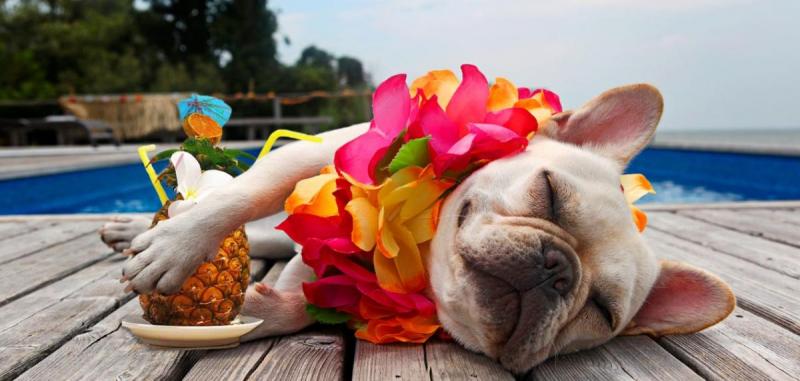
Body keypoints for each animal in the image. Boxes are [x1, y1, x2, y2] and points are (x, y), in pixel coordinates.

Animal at [103, 83, 736, 372]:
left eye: (600, 311)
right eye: (549, 194)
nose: (557, 268)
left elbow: (309, 306)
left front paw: (261, 309)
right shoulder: (320, 152)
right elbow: (248, 193)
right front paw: (179, 248)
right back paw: (140, 230)